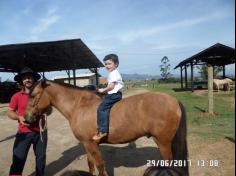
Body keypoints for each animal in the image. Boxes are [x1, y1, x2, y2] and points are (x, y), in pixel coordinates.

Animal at [24, 80, 189, 176]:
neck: (79, 106)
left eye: (32, 95)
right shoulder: (87, 144)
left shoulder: (91, 144)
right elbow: (91, 164)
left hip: (163, 142)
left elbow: (100, 165)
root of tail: (174, 100)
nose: (26, 118)